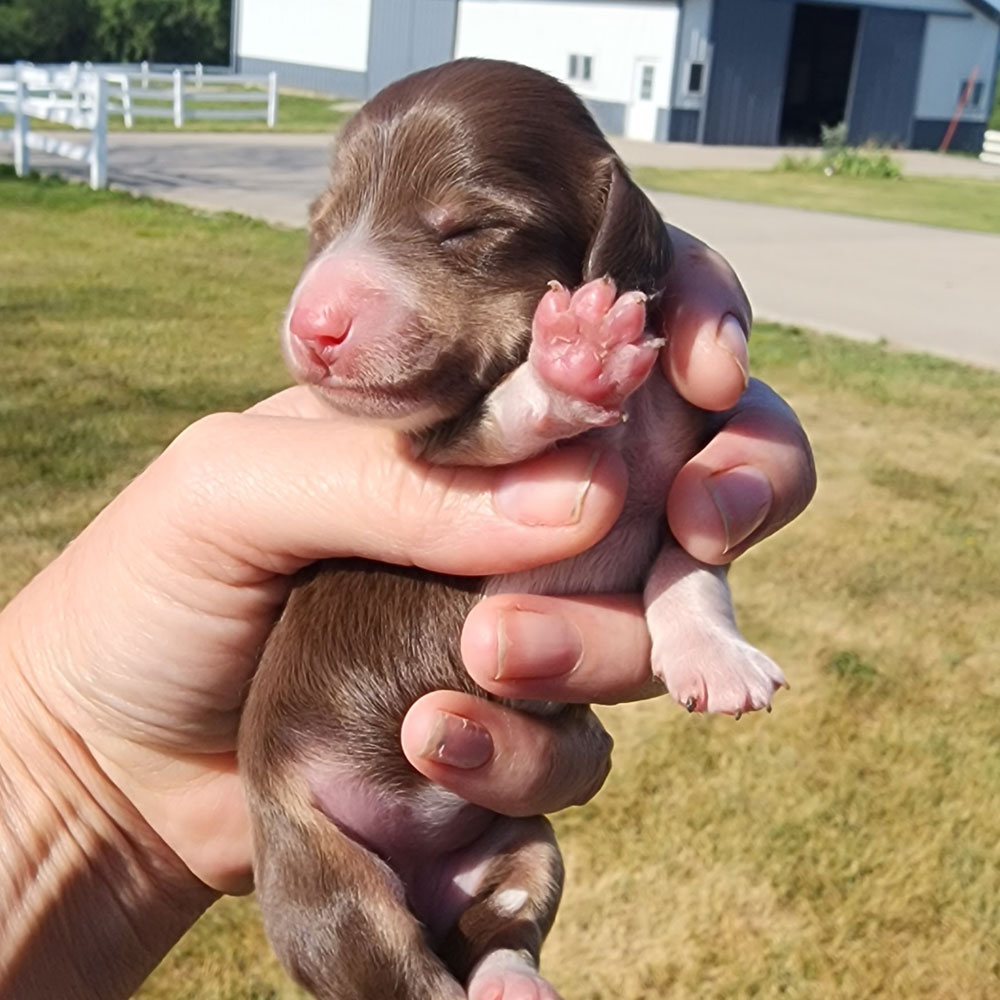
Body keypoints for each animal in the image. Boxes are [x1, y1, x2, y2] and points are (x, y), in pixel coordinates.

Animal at [238, 56, 784, 1000]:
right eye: (322, 226)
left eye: (472, 226)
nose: (313, 327)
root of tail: (424, 883)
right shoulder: (434, 436)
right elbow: (502, 412)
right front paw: (573, 360)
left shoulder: (687, 476)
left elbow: (691, 568)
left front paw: (717, 660)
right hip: (325, 882)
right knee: (402, 975)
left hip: (527, 842)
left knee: (499, 930)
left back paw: (510, 980)